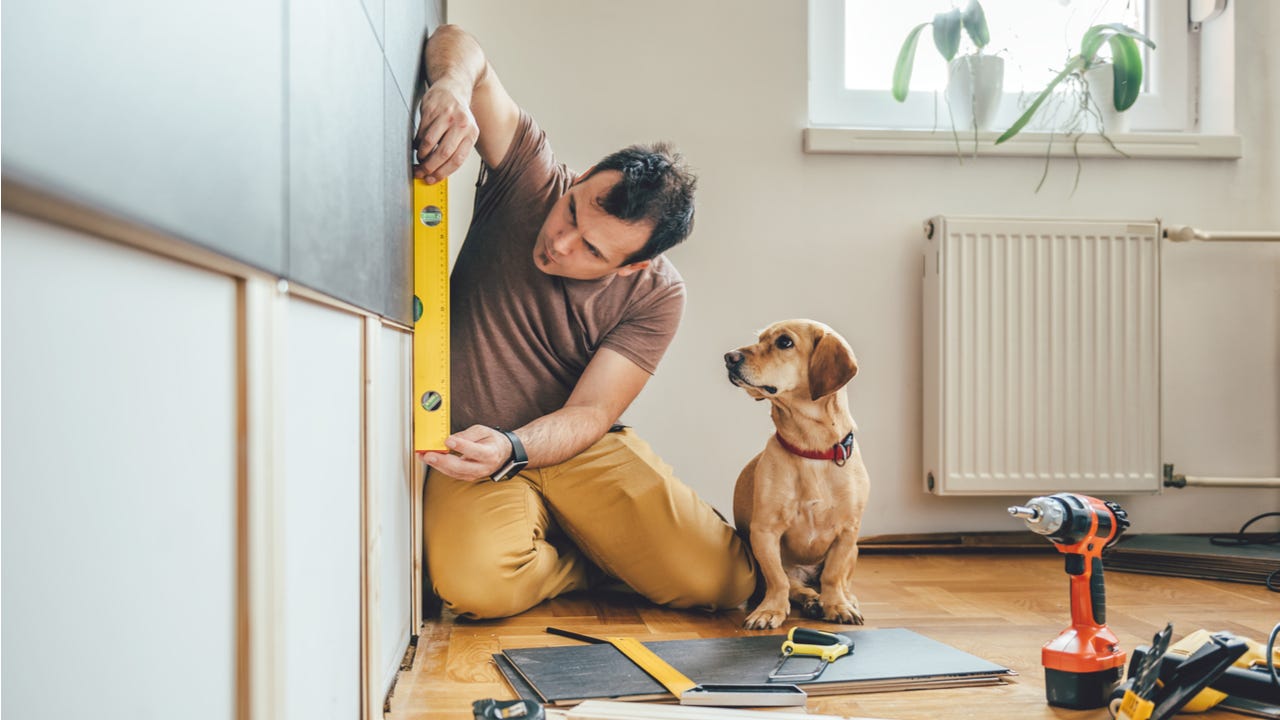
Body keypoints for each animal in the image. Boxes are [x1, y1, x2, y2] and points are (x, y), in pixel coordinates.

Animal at [721, 319, 870, 627]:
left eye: (784, 342)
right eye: (760, 339)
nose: (729, 357)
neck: (811, 449)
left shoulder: (847, 533)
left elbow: (833, 575)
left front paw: (838, 605)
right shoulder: (765, 532)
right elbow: (778, 580)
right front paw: (769, 611)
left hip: (854, 550)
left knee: (839, 581)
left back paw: (842, 599)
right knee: (797, 586)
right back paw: (812, 600)